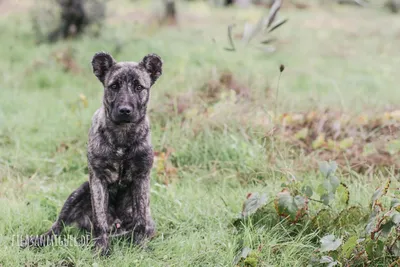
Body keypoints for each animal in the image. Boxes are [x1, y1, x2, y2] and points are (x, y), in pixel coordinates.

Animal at [21, 51, 162, 255]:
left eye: (138, 87)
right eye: (113, 86)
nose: (125, 110)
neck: (122, 134)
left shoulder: (141, 178)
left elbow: (140, 218)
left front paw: (140, 246)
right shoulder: (97, 179)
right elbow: (100, 219)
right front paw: (101, 249)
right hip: (79, 192)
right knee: (57, 226)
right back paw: (38, 240)